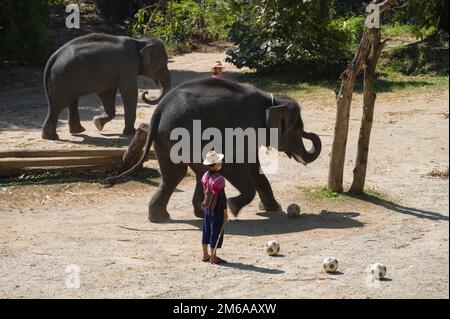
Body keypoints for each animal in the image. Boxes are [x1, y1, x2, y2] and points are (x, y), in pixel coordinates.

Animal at [41, 32, 171, 141]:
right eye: (163, 63)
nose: (146, 92)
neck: (140, 42)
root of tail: (54, 56)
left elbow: (106, 94)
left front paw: (97, 123)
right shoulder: (128, 65)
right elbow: (129, 92)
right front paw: (130, 133)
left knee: (71, 102)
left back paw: (76, 131)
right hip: (63, 77)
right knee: (58, 105)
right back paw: (51, 137)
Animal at [105, 78, 322, 222]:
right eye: (298, 129)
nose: (310, 133)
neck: (272, 101)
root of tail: (158, 111)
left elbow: (254, 167)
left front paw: (273, 208)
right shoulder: (245, 126)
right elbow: (236, 164)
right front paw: (234, 208)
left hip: (164, 141)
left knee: (174, 174)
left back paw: (163, 217)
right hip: (185, 135)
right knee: (195, 170)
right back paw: (202, 213)